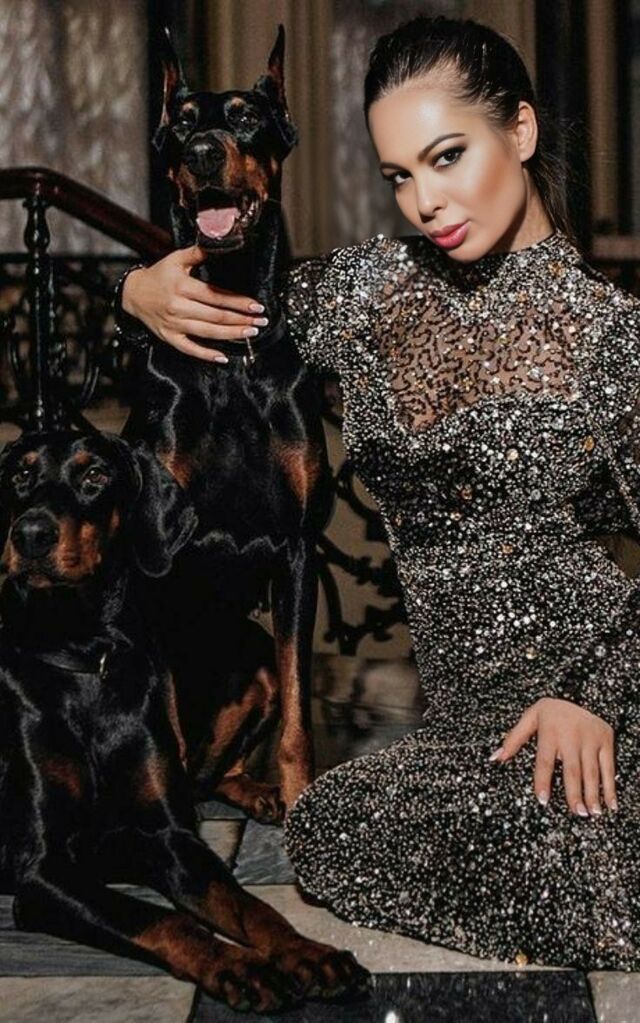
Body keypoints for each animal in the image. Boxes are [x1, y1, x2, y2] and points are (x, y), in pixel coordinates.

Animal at [0, 429, 368, 1012]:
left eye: (95, 475)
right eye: (20, 474)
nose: (30, 534)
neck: (84, 655)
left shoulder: (170, 838)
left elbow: (246, 904)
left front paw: (306, 952)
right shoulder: (40, 870)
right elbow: (161, 919)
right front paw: (240, 966)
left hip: (263, 655)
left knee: (207, 772)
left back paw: (259, 792)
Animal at [121, 26, 332, 819]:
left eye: (245, 117)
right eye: (182, 123)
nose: (205, 150)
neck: (231, 355)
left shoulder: (299, 551)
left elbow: (300, 715)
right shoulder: (156, 560)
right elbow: (166, 721)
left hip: (256, 660)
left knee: (220, 760)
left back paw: (257, 790)